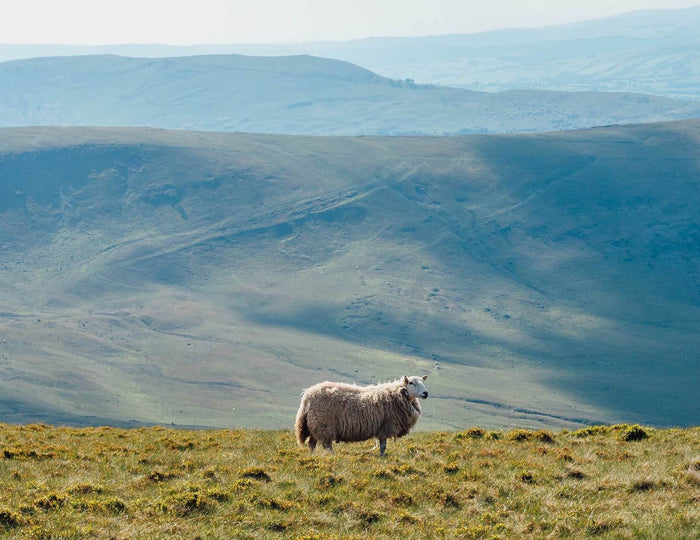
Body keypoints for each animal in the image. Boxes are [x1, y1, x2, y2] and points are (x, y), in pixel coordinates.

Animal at [295, 375, 429, 456]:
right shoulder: (386, 427)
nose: (426, 393)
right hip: (324, 425)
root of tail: (307, 395)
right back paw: (332, 456)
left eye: (423, 382)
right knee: (326, 445)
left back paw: (313, 456)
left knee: (312, 444)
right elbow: (383, 445)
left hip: (314, 425)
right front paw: (382, 457)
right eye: (411, 383)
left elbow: (383, 445)